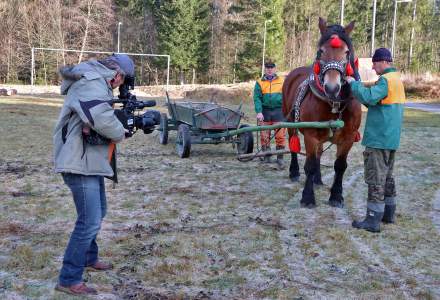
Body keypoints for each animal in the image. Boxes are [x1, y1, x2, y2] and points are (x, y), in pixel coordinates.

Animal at [282, 17, 360, 207]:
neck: (334, 103)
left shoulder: (348, 137)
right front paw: (308, 197)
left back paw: (317, 179)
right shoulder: (311, 134)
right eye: (320, 51)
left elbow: (340, 166)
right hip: (291, 121)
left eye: (347, 52)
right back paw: (294, 172)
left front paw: (336, 196)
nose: (332, 88)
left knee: (319, 152)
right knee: (293, 144)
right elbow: (309, 165)